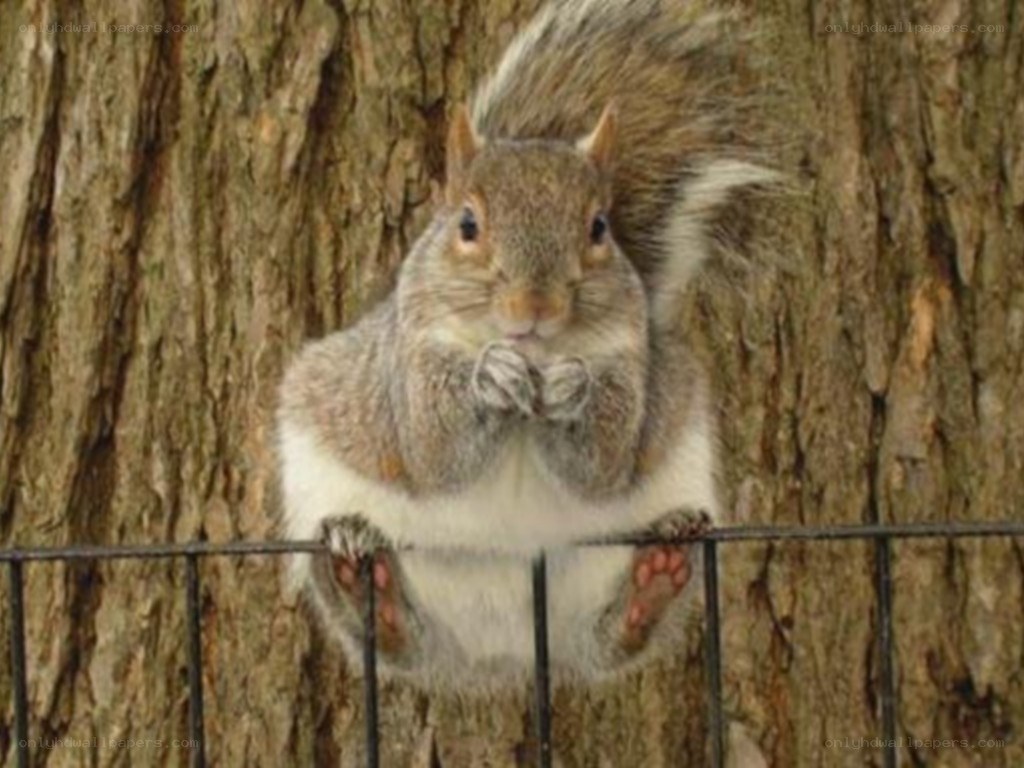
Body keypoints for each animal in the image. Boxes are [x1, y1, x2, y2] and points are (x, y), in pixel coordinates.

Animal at [277, 0, 779, 686]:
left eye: (599, 227)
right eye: (467, 224)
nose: (535, 308)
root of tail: (504, 653)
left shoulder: (630, 364)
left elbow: (600, 468)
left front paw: (573, 390)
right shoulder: (408, 363)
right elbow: (434, 452)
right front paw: (488, 378)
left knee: (611, 638)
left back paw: (656, 574)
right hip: (328, 506)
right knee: (393, 637)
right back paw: (361, 579)